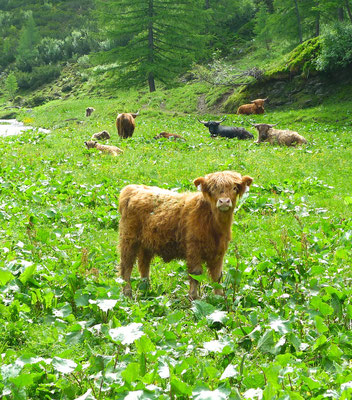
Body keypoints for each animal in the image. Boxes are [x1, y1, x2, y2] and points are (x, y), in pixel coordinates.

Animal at [118, 171, 253, 300]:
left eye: (234, 188)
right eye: (213, 188)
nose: (224, 201)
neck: (214, 224)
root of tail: (133, 188)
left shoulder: (219, 252)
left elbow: (217, 276)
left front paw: (219, 297)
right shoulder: (193, 249)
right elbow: (195, 273)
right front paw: (194, 297)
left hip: (146, 244)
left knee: (144, 265)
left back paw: (146, 289)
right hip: (128, 240)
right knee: (126, 266)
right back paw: (127, 293)